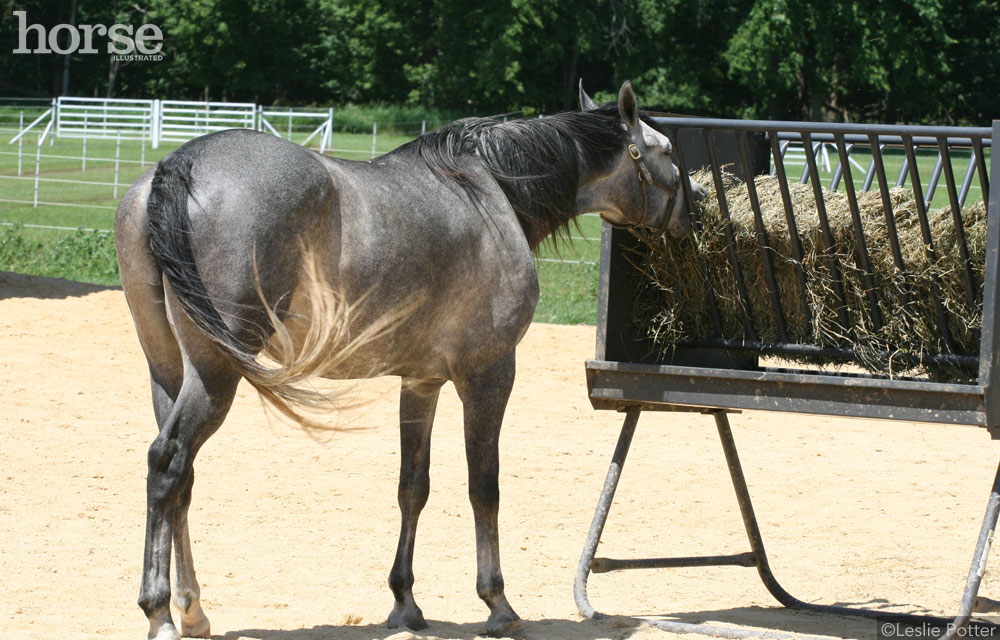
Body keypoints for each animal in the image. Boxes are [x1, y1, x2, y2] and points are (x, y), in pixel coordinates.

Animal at [115, 82, 704, 636]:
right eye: (666, 150)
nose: (694, 217)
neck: (493, 194)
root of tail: (179, 164)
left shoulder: (420, 382)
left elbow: (412, 487)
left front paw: (405, 603)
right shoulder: (489, 374)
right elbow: (483, 486)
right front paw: (497, 603)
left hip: (169, 371)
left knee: (181, 480)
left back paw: (193, 611)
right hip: (216, 374)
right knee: (168, 462)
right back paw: (160, 613)